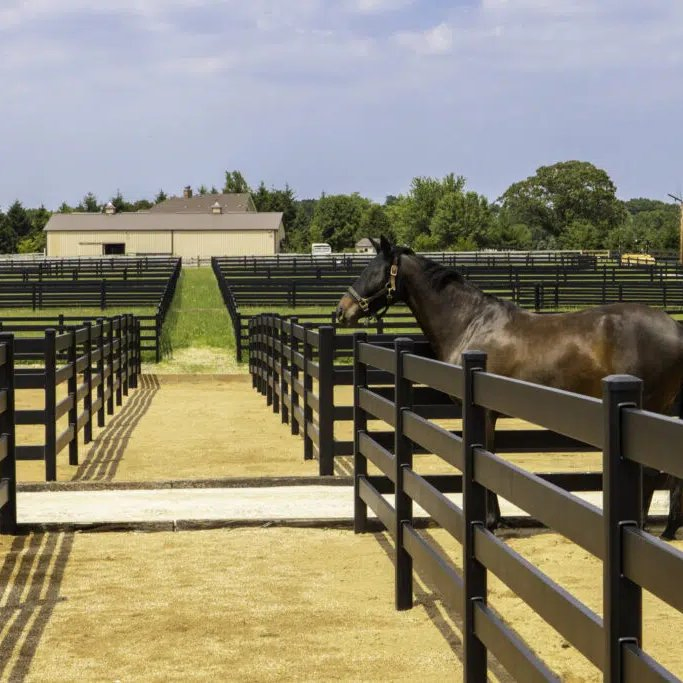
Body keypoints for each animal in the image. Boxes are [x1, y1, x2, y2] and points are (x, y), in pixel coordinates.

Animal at [336, 236, 683, 539]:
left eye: (374, 272)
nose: (341, 311)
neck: (470, 322)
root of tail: (674, 327)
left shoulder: (483, 412)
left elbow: (484, 458)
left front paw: (489, 521)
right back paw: (668, 529)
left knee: (652, 473)